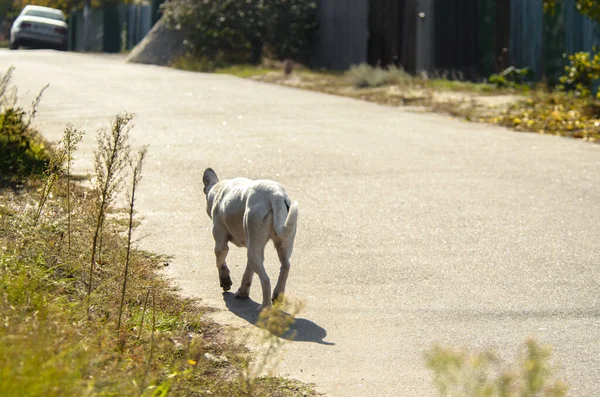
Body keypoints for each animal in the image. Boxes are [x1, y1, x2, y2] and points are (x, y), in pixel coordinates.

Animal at [203, 169, 298, 310]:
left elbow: (220, 262)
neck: (218, 190)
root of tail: (276, 195)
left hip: (253, 250)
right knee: (285, 266)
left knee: (265, 280)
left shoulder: (220, 244)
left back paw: (265, 307)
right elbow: (248, 273)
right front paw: (243, 292)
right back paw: (277, 296)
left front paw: (225, 281)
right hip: (280, 244)